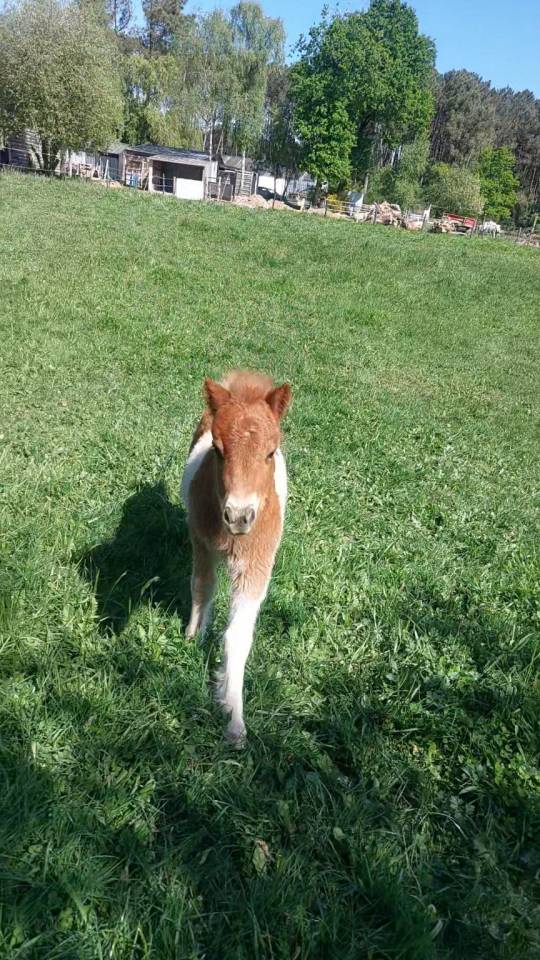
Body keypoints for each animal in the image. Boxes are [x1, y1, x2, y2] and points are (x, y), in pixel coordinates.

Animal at [181, 371, 291, 745]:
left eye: (271, 452)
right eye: (217, 449)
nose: (239, 516)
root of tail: (245, 379)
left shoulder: (257, 564)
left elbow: (238, 635)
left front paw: (234, 718)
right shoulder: (200, 541)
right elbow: (201, 587)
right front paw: (193, 636)